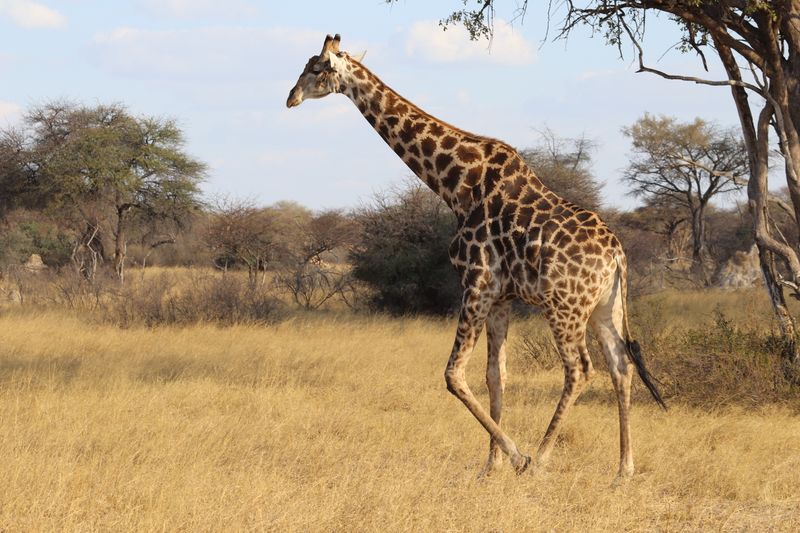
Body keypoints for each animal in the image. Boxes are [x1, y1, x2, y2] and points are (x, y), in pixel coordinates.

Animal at [287, 34, 666, 480]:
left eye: (316, 68)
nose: (291, 98)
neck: (455, 185)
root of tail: (618, 255)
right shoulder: (500, 296)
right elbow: (495, 376)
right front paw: (491, 465)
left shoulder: (476, 282)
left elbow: (454, 374)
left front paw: (516, 457)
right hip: (605, 307)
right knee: (621, 366)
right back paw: (624, 468)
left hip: (564, 307)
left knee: (580, 369)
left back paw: (542, 458)